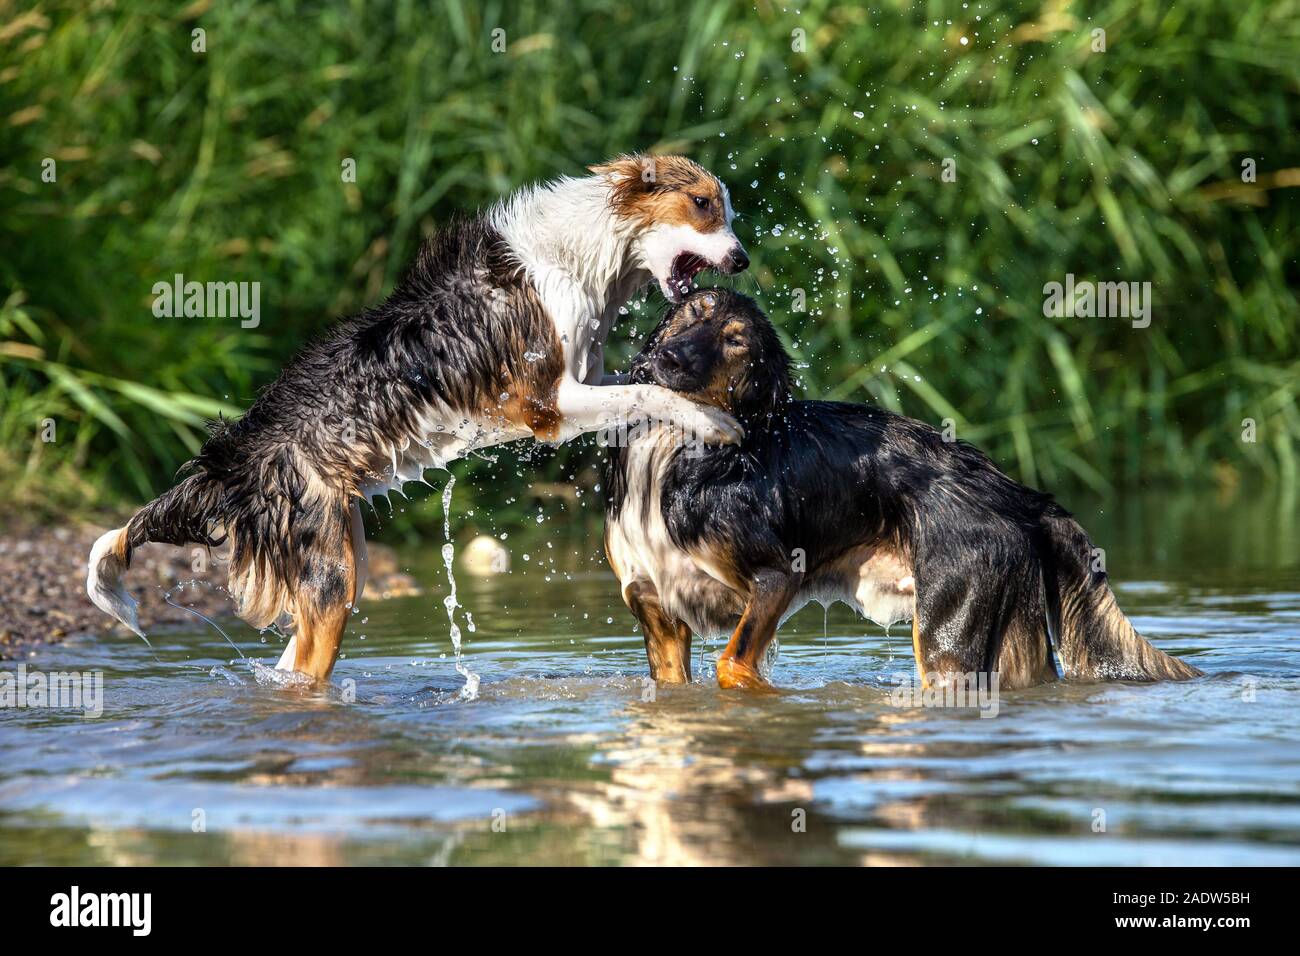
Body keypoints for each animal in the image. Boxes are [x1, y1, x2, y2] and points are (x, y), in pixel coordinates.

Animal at [603, 287, 1201, 691]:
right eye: (692, 313)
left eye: (735, 342)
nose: (669, 358)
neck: (674, 451)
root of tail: (1020, 496)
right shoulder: (653, 609)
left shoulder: (776, 576)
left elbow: (732, 664)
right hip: (1009, 639)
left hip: (948, 635)